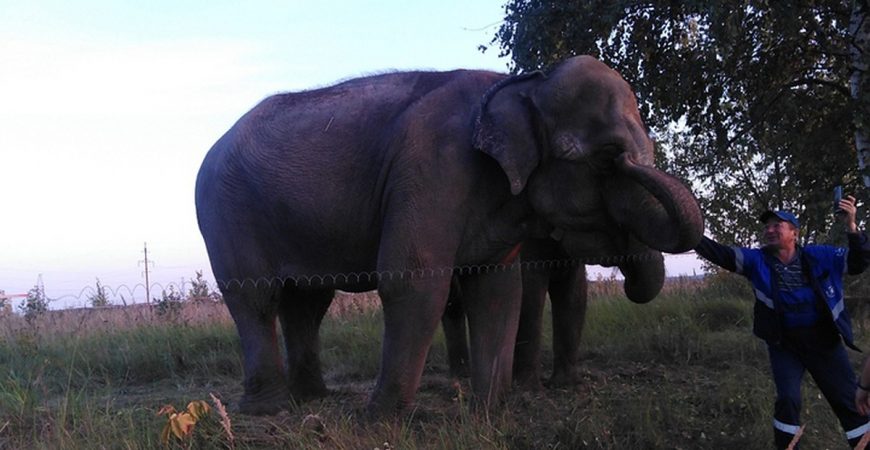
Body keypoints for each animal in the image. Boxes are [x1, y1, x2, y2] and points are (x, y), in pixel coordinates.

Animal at [194, 55, 704, 418]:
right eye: (605, 160)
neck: (520, 85)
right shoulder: (433, 170)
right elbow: (414, 280)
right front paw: (379, 421)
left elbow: (499, 290)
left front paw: (489, 412)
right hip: (226, 213)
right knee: (255, 297)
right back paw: (268, 410)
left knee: (308, 302)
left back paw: (313, 399)